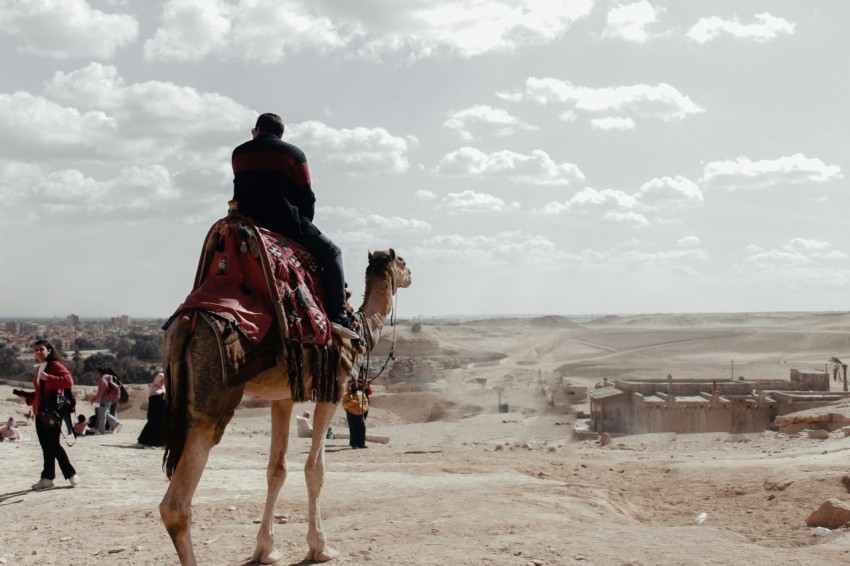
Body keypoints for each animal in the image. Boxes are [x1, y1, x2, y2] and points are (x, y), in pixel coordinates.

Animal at [160, 248, 410, 566]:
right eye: (402, 261)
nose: (411, 275)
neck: (362, 326)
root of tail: (185, 324)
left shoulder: (283, 397)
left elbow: (276, 469)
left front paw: (266, 550)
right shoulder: (334, 387)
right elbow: (315, 469)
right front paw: (320, 547)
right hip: (210, 399)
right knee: (176, 505)